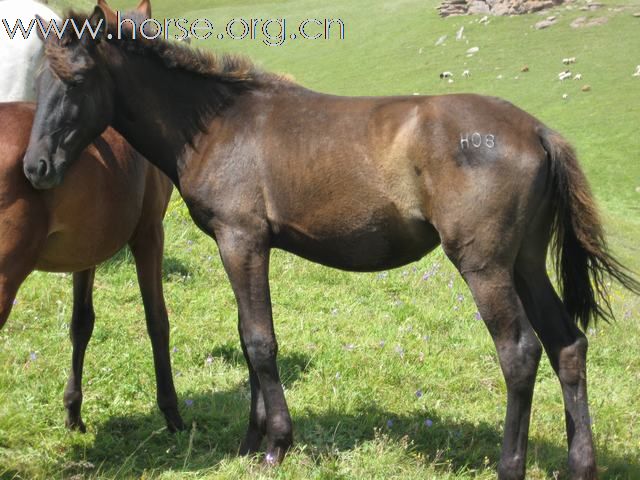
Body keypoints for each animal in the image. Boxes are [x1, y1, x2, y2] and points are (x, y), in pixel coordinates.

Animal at [0, 100, 185, 432]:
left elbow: (81, 324)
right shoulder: (150, 234)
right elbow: (157, 320)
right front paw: (171, 412)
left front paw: (73, 412)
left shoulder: (85, 252)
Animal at [22, 2, 636, 476]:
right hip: (525, 263)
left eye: (76, 81)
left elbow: (259, 341)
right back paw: (581, 463)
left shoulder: (240, 240)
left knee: (520, 352)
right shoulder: (248, 245)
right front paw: (250, 442)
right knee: (567, 344)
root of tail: (538, 130)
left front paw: (275, 445)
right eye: (40, 82)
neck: (219, 125)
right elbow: (249, 338)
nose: (36, 167)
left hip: (484, 266)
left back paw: (511, 464)